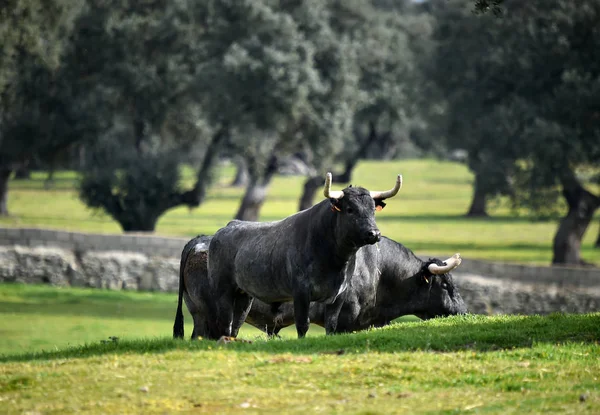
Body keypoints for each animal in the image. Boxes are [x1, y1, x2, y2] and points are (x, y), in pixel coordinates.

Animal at [171, 236, 466, 340]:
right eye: (446, 284)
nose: (464, 312)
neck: (378, 269)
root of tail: (200, 241)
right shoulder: (343, 319)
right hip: (212, 313)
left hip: (198, 312)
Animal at [173, 174, 404, 340]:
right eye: (350, 209)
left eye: (373, 209)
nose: (374, 233)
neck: (334, 260)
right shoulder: (301, 292)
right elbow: (303, 324)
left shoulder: (338, 295)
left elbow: (331, 326)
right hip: (221, 293)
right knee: (220, 325)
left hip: (243, 296)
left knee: (233, 325)